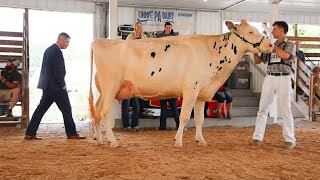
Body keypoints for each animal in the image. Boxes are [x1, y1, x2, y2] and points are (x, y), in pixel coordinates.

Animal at [89, 19, 274, 147]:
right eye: (250, 32)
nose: (270, 44)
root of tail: (99, 41)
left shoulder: (201, 94)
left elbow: (199, 119)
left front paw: (201, 140)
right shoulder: (191, 90)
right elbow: (185, 117)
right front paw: (178, 141)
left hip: (103, 90)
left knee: (96, 111)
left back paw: (99, 139)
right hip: (111, 86)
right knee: (104, 112)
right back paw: (112, 141)